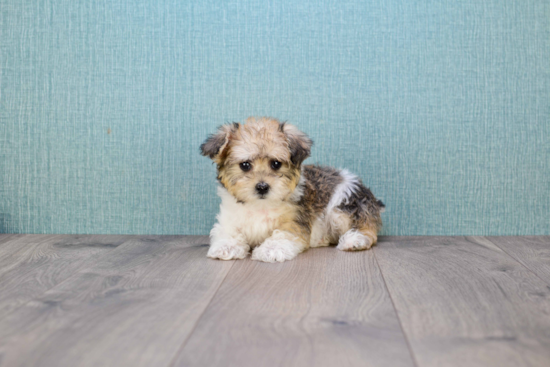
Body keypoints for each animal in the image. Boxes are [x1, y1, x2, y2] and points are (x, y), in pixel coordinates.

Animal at [201, 116, 386, 264]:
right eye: (245, 165)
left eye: (276, 164)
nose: (262, 187)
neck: (260, 206)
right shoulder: (230, 219)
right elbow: (227, 232)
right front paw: (226, 246)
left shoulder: (294, 220)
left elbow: (282, 234)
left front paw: (271, 249)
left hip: (344, 204)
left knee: (365, 227)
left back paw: (355, 240)